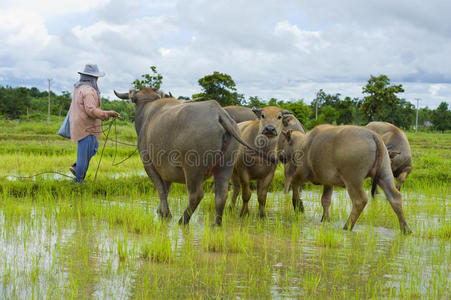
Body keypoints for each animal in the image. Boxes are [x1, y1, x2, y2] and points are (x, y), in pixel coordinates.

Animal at [115, 88, 274, 226]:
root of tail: (218, 113)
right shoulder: (165, 170)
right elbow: (165, 189)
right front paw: (160, 211)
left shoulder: (148, 163)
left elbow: (161, 189)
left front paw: (165, 214)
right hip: (226, 165)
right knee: (222, 194)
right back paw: (217, 223)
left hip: (193, 168)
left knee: (196, 195)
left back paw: (182, 221)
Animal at [282, 124, 414, 234]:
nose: (281, 155)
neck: (303, 144)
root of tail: (374, 136)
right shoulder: (328, 183)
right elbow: (325, 200)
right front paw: (325, 219)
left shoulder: (299, 175)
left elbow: (295, 190)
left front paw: (299, 207)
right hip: (384, 173)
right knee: (394, 197)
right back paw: (406, 229)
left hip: (353, 180)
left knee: (360, 200)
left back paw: (347, 226)